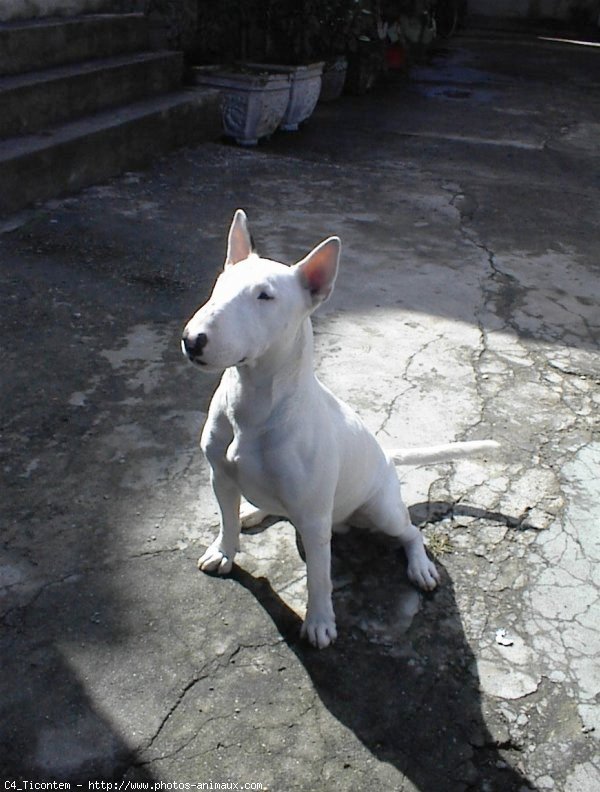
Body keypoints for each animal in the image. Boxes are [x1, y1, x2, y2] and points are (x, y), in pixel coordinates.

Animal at [182, 212, 496, 648]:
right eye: (220, 284)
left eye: (265, 296)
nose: (193, 340)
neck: (256, 403)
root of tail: (386, 456)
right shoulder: (220, 477)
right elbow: (226, 521)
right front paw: (224, 552)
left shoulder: (315, 517)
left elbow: (319, 576)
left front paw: (319, 623)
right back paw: (253, 511)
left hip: (381, 510)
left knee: (411, 533)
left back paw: (420, 568)